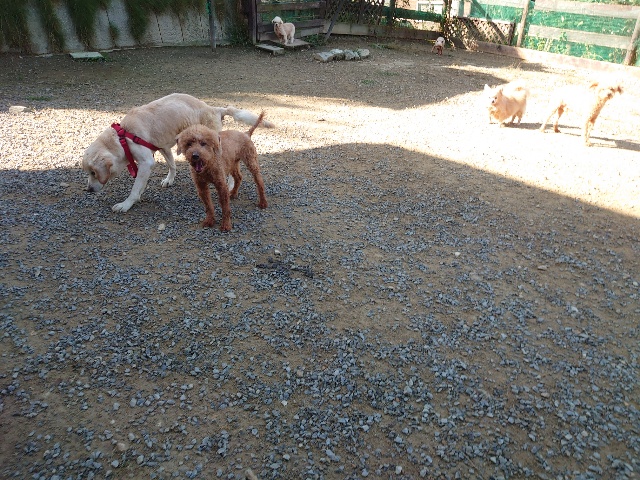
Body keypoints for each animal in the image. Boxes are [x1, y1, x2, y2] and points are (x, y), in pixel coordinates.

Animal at [82, 93, 274, 213]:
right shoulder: (163, 148)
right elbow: (171, 165)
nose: (89, 190)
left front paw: (126, 204)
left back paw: (229, 185)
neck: (122, 137)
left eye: (93, 173)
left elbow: (135, 188)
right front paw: (168, 180)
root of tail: (214, 109)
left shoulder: (146, 163)